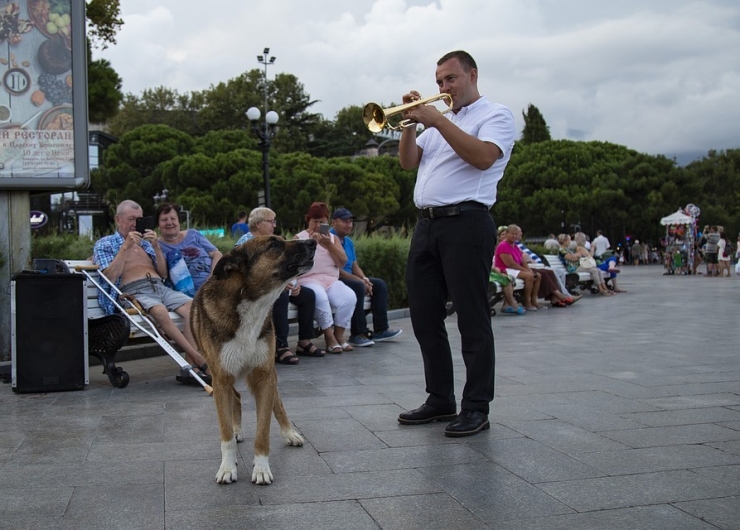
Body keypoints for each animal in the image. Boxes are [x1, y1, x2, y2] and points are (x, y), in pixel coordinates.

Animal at [191, 235, 316, 482]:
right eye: (274, 244)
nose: (314, 242)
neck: (249, 302)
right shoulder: (220, 379)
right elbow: (225, 433)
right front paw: (227, 467)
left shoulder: (263, 376)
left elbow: (263, 430)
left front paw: (261, 468)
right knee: (236, 398)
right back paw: (237, 430)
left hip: (268, 375)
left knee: (277, 404)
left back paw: (289, 432)